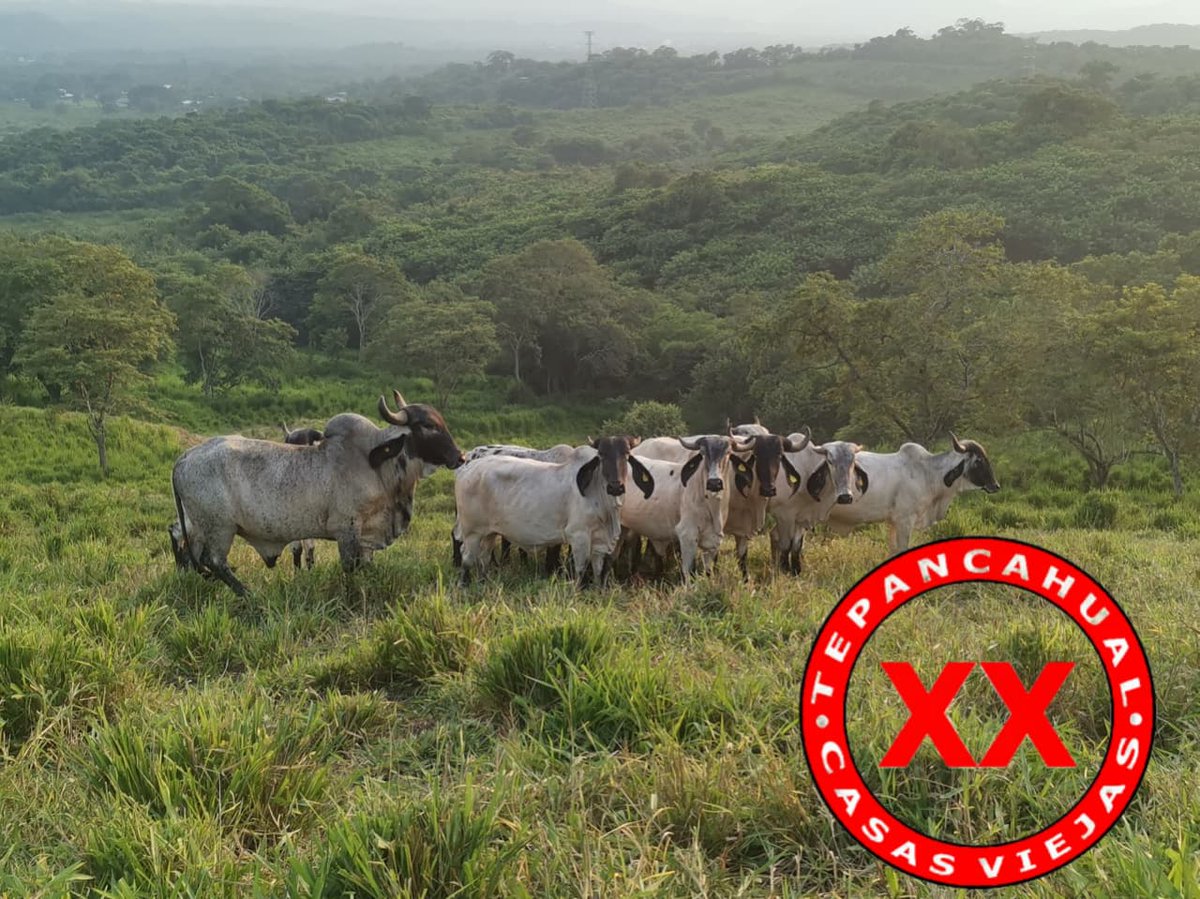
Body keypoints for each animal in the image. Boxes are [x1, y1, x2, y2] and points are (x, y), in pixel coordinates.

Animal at [454, 437, 654, 587]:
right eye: (602, 455)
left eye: (626, 454)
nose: (615, 486)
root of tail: (467, 468)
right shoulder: (578, 535)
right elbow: (581, 569)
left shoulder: (600, 541)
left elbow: (598, 570)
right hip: (471, 531)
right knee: (467, 557)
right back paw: (464, 585)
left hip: (490, 532)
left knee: (484, 558)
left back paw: (483, 581)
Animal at [624, 434, 742, 579]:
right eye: (703, 453)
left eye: (728, 453)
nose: (714, 483)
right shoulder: (687, 535)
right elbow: (689, 571)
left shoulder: (713, 542)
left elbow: (708, 571)